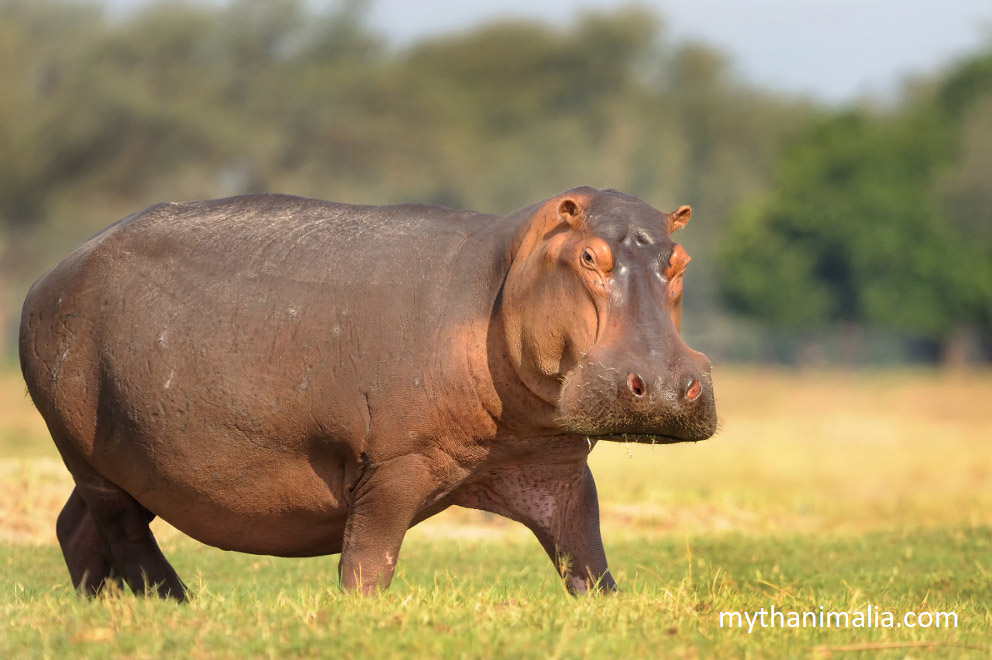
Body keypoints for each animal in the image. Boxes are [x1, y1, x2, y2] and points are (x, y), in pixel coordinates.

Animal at [19, 186, 716, 600]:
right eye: (589, 258)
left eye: (681, 261)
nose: (661, 384)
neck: (505, 273)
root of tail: (49, 274)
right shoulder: (393, 466)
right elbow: (368, 560)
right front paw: (362, 613)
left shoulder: (556, 468)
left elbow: (588, 559)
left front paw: (606, 609)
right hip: (87, 450)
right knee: (124, 535)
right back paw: (178, 604)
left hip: (134, 460)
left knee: (76, 527)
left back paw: (100, 607)